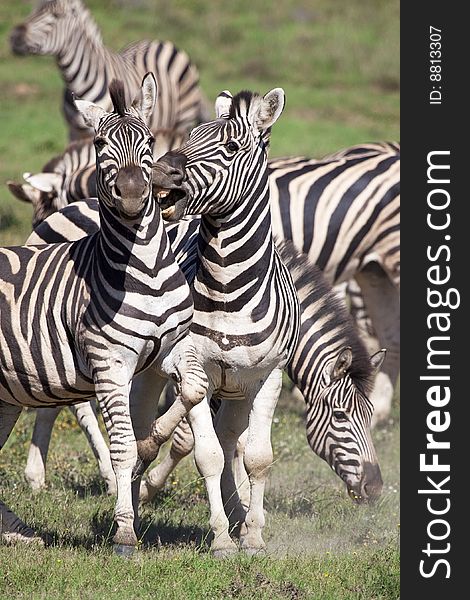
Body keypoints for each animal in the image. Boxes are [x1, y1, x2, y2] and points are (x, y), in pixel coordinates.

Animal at [0, 72, 207, 552]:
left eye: (148, 140)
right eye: (99, 143)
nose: (132, 195)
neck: (146, 269)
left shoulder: (171, 349)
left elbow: (193, 391)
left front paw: (152, 442)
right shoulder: (109, 363)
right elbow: (122, 446)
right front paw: (126, 530)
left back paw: (16, 531)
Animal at [9, 0, 207, 141]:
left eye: (56, 15)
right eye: (33, 10)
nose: (14, 37)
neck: (77, 81)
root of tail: (160, 41)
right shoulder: (74, 133)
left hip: (182, 120)